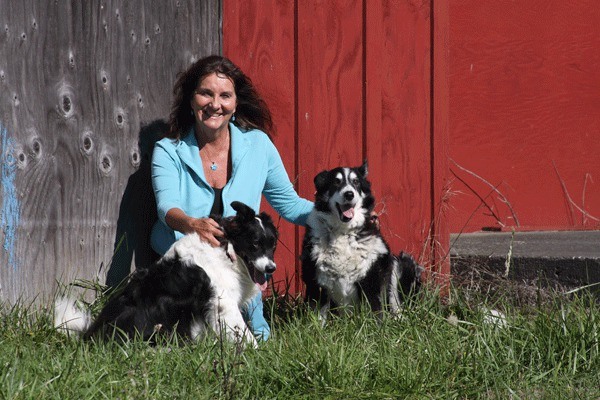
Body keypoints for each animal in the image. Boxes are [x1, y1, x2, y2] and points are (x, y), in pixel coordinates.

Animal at [55, 200, 278, 346]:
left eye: (272, 245)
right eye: (255, 244)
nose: (271, 268)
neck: (226, 248)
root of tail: (91, 335)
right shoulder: (223, 304)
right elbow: (246, 335)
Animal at [300, 161, 422, 320]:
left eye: (356, 182)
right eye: (336, 182)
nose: (349, 194)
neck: (344, 232)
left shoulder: (371, 281)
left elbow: (376, 314)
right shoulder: (317, 284)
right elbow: (318, 317)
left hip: (404, 263)